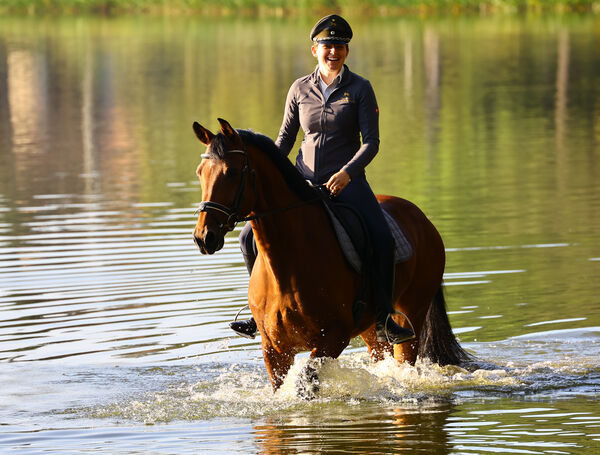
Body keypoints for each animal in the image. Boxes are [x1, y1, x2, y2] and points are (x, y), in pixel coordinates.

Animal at [192, 119, 468, 394]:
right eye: (199, 172)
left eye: (231, 172)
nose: (203, 237)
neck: (287, 265)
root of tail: (422, 219)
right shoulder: (274, 349)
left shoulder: (332, 339)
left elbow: (305, 382)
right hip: (371, 330)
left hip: (411, 315)